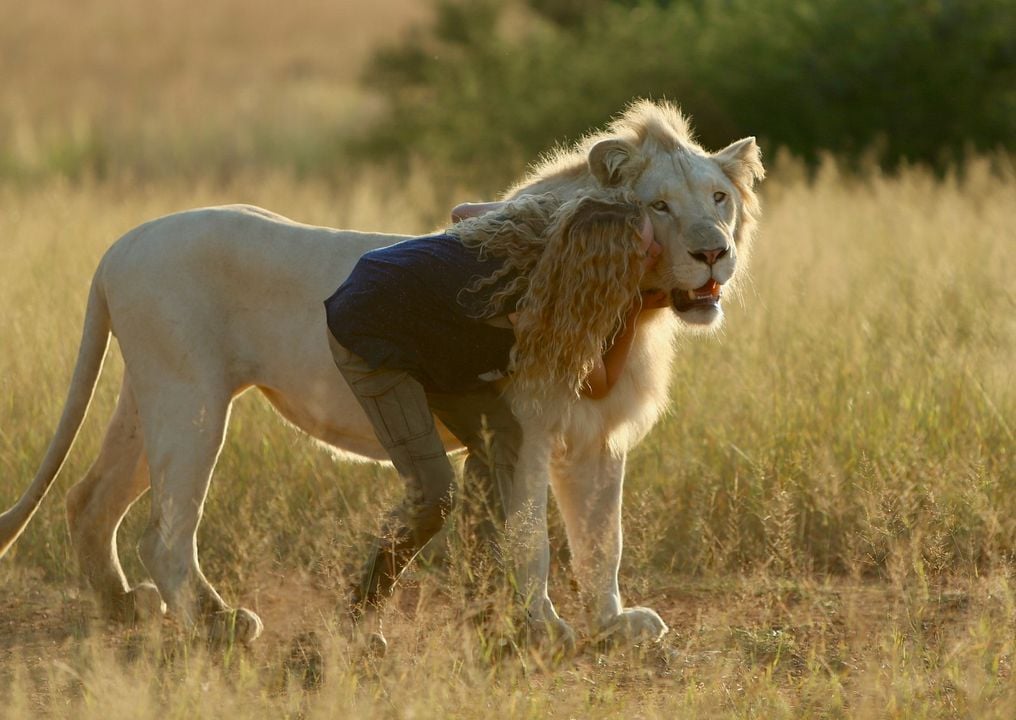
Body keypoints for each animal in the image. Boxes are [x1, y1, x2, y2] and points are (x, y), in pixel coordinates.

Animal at [0, 100, 763, 648]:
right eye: (659, 205)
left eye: (718, 198)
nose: (713, 253)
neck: (631, 306)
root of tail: (117, 248)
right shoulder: (522, 427)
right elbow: (531, 540)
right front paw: (544, 629)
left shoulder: (598, 438)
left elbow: (603, 540)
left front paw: (612, 626)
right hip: (191, 401)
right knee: (163, 533)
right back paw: (219, 626)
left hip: (150, 394)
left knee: (89, 500)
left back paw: (123, 611)